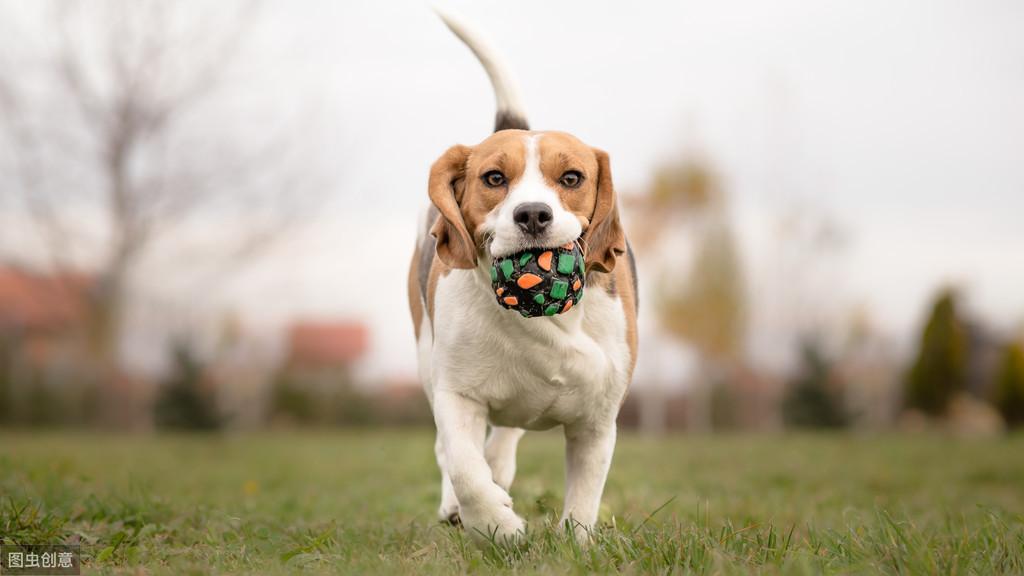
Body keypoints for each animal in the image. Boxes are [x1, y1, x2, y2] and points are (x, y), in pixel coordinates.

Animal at [405, 8, 630, 541]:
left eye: (571, 178)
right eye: (493, 178)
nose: (532, 214)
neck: (544, 323)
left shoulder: (598, 419)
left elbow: (585, 495)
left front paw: (577, 542)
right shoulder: (455, 394)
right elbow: (464, 469)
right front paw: (497, 526)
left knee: (506, 432)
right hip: (426, 358)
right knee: (451, 451)